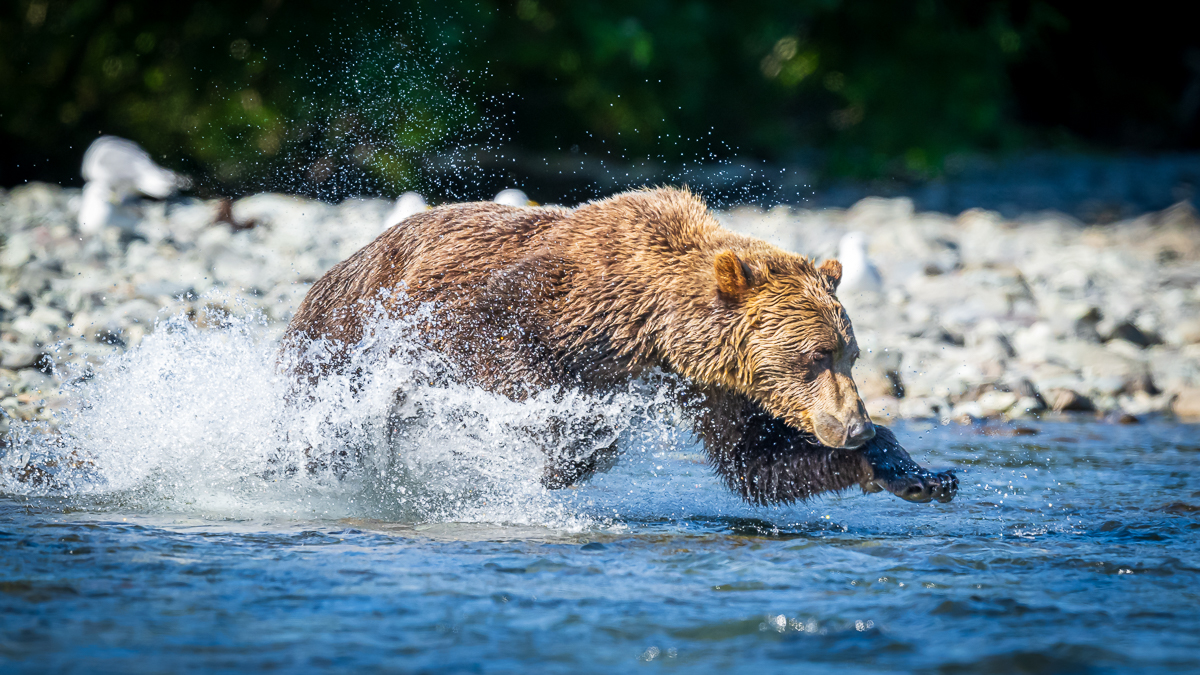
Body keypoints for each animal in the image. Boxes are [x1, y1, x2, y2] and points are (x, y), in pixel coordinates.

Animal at [280, 186, 955, 502]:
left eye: (850, 354)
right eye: (814, 356)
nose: (854, 426)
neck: (648, 327)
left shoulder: (712, 383)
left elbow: (755, 460)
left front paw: (913, 471)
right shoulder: (536, 298)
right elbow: (481, 346)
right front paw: (568, 440)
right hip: (339, 342)